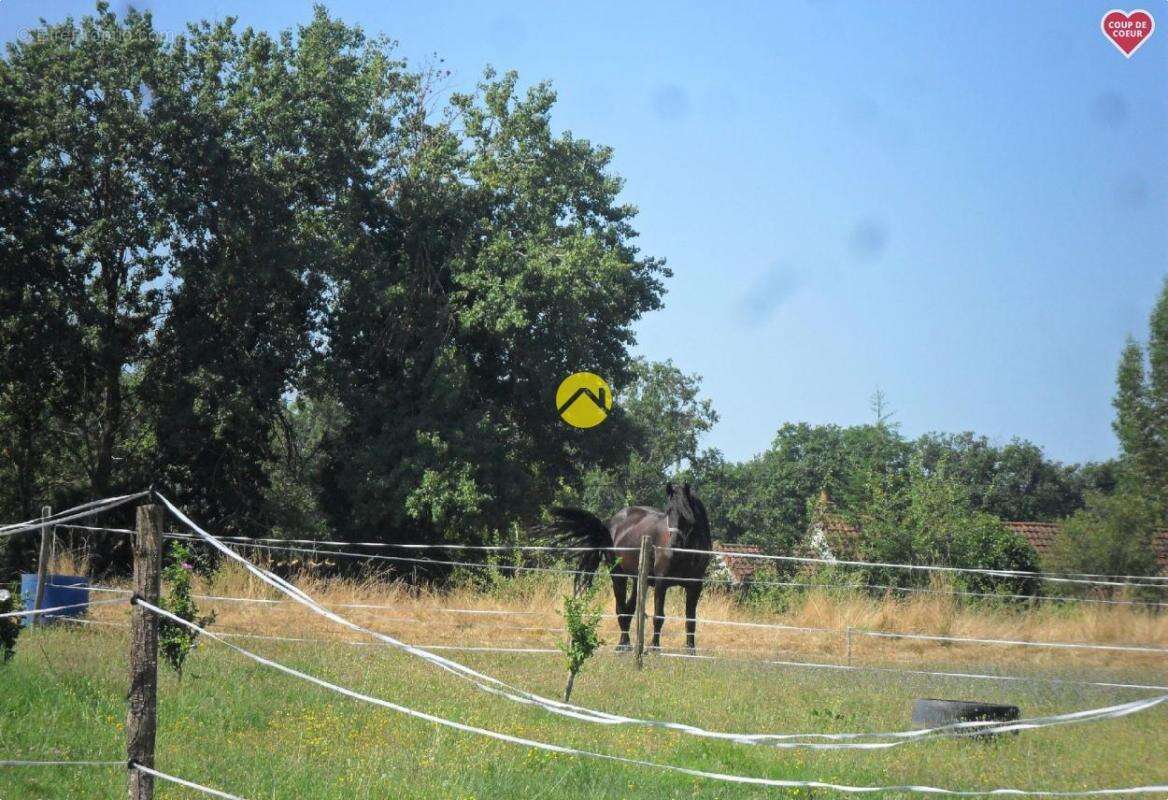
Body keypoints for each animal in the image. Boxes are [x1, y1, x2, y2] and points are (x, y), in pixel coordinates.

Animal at [546, 483, 710, 654]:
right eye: (668, 511)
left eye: (687, 512)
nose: (673, 544)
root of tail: (611, 523)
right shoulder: (661, 583)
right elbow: (658, 616)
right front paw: (655, 648)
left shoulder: (695, 586)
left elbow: (690, 619)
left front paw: (691, 650)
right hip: (618, 576)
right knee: (621, 609)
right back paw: (623, 644)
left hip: (638, 580)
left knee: (629, 609)